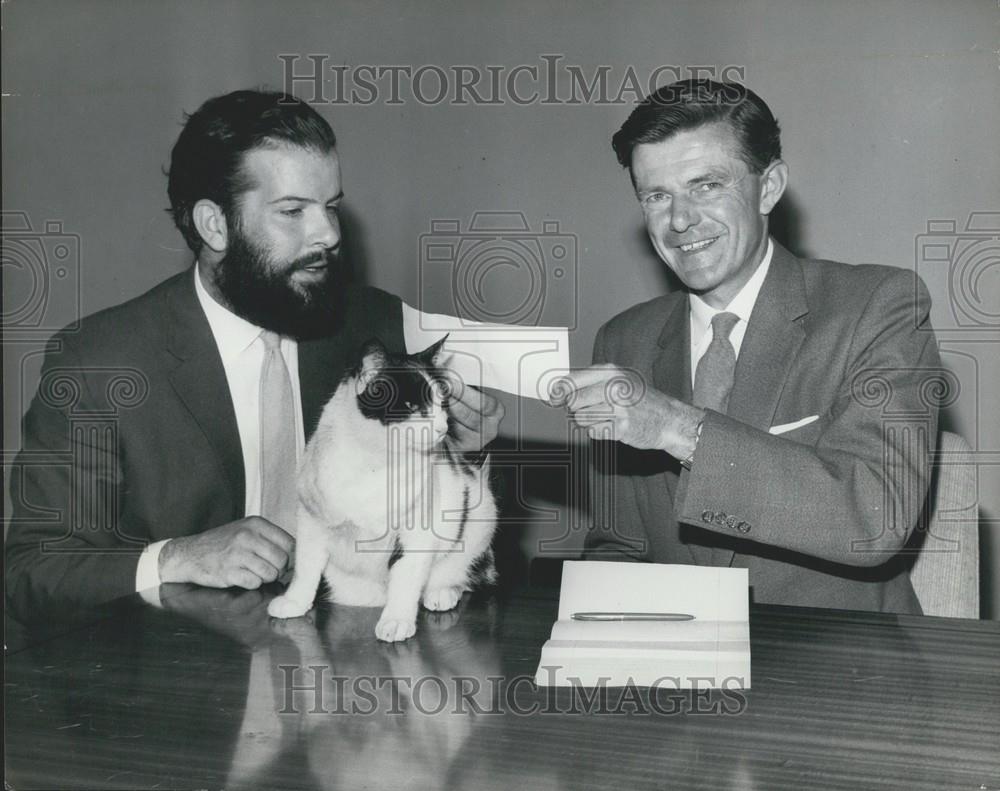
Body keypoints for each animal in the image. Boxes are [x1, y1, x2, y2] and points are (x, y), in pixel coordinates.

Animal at [268, 338, 498, 644]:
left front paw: (397, 620)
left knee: (460, 572)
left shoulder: (417, 531)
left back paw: (441, 592)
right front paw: (295, 601)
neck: (375, 463)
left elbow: (406, 574)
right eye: (412, 404)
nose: (443, 427)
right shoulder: (310, 520)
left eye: (441, 404)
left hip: (480, 520)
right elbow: (306, 566)